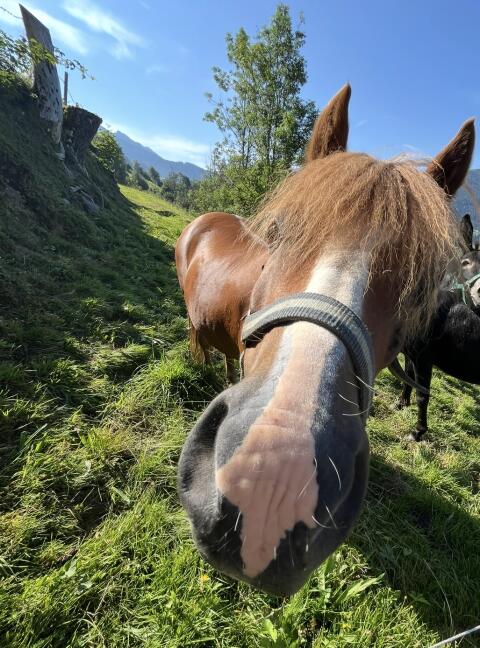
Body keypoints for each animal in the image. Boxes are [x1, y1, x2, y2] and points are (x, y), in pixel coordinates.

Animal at [397, 214, 480, 440]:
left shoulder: (424, 357)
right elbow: (408, 377)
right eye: (465, 263)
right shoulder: (412, 353)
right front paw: (400, 403)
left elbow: (422, 393)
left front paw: (417, 432)